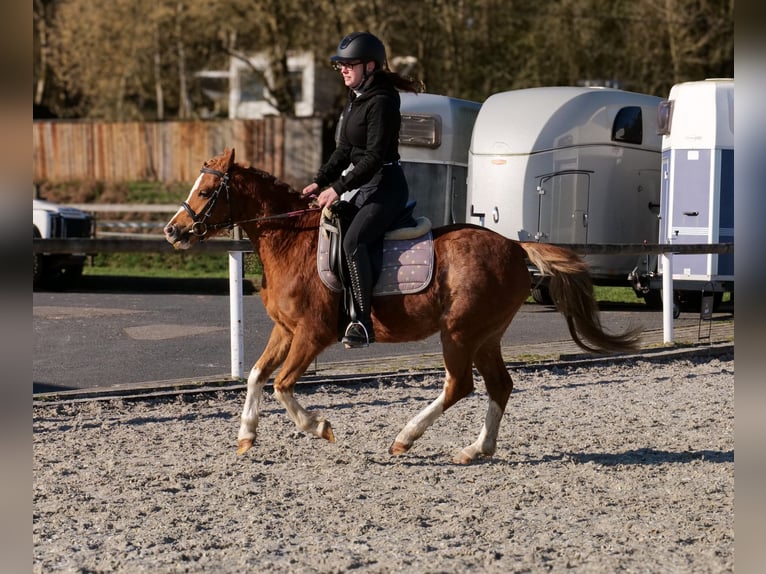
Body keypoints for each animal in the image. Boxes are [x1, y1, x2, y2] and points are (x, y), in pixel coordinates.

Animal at [164, 148, 641, 464]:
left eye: (207, 190)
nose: (172, 231)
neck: (289, 241)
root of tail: (513, 245)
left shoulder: (312, 334)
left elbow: (282, 384)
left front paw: (318, 427)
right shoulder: (286, 330)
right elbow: (257, 375)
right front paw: (246, 435)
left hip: (459, 333)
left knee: (459, 386)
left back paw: (405, 438)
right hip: (485, 335)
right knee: (499, 386)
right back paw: (476, 449)